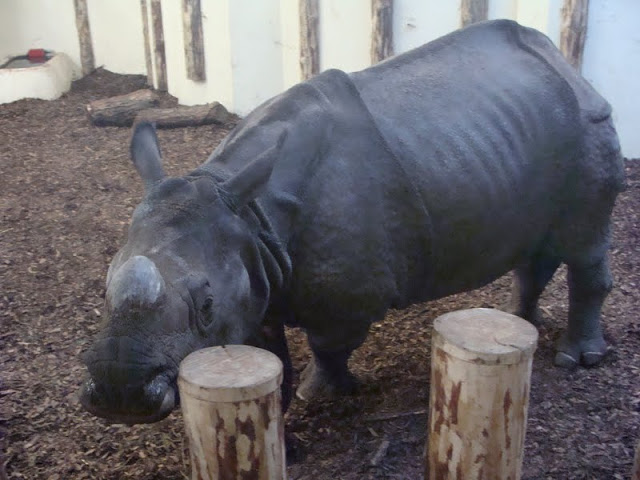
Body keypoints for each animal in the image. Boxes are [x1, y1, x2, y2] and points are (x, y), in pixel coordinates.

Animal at [80, 20, 625, 424]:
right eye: (104, 286)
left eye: (206, 305)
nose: (120, 394)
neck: (251, 212)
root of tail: (564, 62)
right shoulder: (254, 267)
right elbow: (263, 344)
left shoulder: (345, 295)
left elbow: (328, 343)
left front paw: (320, 394)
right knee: (538, 246)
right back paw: (518, 322)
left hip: (588, 126)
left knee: (584, 245)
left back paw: (576, 359)